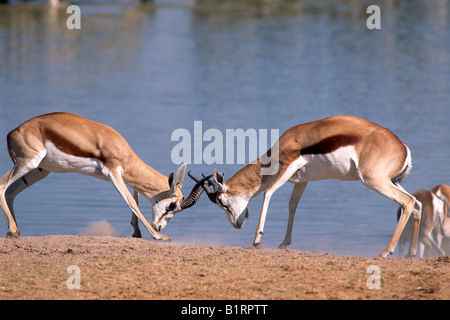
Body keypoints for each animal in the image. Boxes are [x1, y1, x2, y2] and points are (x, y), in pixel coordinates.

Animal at [0, 112, 211, 240]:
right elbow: (131, 202)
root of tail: (12, 133)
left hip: (39, 171)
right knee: (2, 185)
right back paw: (13, 230)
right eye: (172, 206)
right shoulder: (114, 173)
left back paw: (16, 232)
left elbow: (135, 196)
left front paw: (137, 233)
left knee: (10, 192)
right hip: (28, 163)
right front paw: (158, 237)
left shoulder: (125, 175)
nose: (159, 227)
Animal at [188, 115, 420, 258]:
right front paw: (283, 243)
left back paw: (386, 251)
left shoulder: (289, 165)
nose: (236, 225)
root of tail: (403, 148)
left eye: (222, 202)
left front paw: (257, 239)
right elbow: (292, 206)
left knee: (407, 202)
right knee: (416, 205)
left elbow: (268, 193)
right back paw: (410, 253)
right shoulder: (302, 181)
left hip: (374, 181)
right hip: (393, 182)